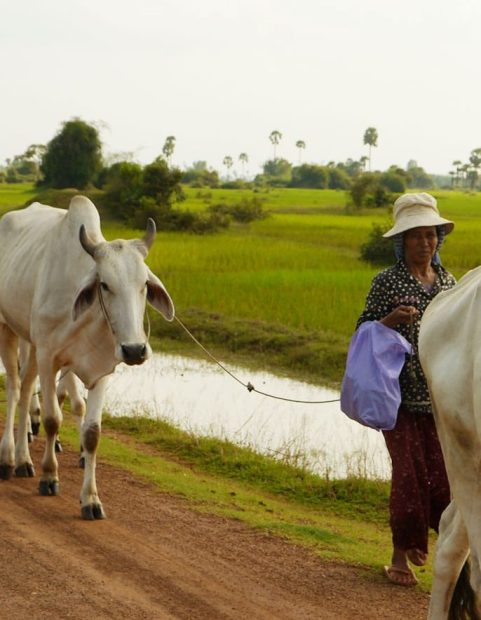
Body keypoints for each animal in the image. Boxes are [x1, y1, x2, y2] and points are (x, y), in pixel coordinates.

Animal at [0, 197, 174, 520]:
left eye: (144, 284)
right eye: (105, 284)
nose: (135, 350)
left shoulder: (102, 370)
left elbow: (92, 432)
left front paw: (90, 499)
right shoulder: (50, 358)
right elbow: (53, 419)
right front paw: (49, 476)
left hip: (31, 344)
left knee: (27, 389)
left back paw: (23, 460)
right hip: (8, 329)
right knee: (15, 390)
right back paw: (8, 459)